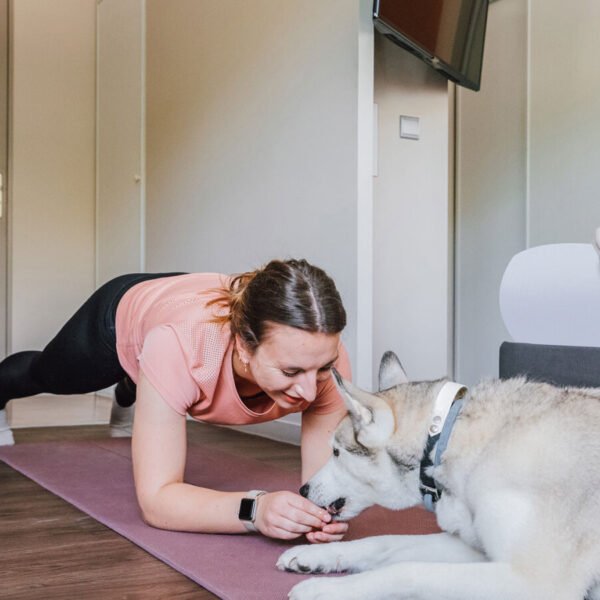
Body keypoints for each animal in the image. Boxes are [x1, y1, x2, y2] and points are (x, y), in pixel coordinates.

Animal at [278, 352, 600, 600]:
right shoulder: (478, 551)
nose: (303, 489)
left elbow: (405, 570)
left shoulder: (535, 582)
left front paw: (325, 589)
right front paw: (315, 557)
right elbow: (383, 542)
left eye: (335, 451)